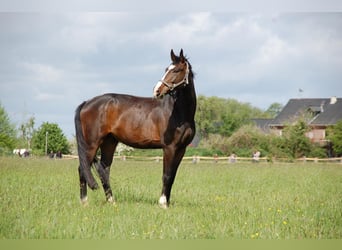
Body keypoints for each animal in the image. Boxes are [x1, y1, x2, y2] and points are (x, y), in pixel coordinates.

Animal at [75, 49, 198, 209]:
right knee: (82, 168)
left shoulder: (181, 149)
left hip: (109, 142)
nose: (157, 91)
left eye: (176, 70)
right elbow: (166, 175)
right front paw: (163, 203)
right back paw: (84, 202)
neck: (178, 112)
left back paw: (111, 201)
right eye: (166, 69)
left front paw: (167, 202)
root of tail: (86, 103)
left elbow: (172, 176)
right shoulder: (169, 148)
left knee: (104, 170)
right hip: (92, 144)